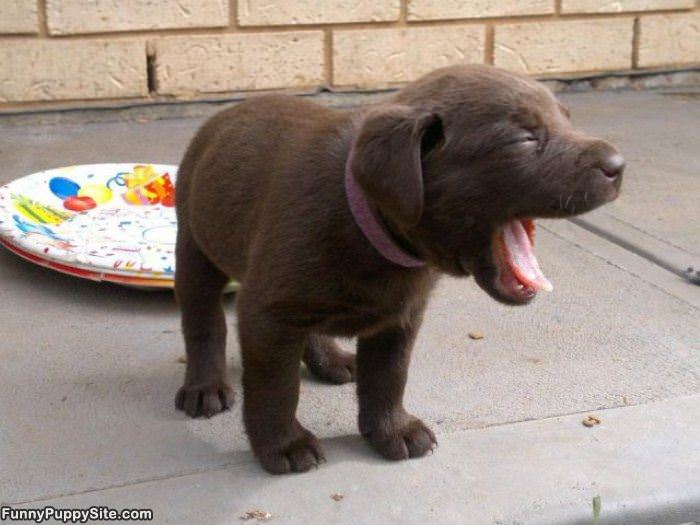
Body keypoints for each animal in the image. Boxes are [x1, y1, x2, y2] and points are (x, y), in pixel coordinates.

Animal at [174, 63, 624, 472]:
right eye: (524, 138)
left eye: (567, 120)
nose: (619, 165)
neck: (368, 230)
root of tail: (227, 112)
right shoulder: (267, 312)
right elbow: (275, 387)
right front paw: (284, 445)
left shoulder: (400, 317)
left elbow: (389, 377)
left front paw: (392, 431)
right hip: (194, 247)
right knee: (203, 323)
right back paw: (206, 386)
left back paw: (330, 360)